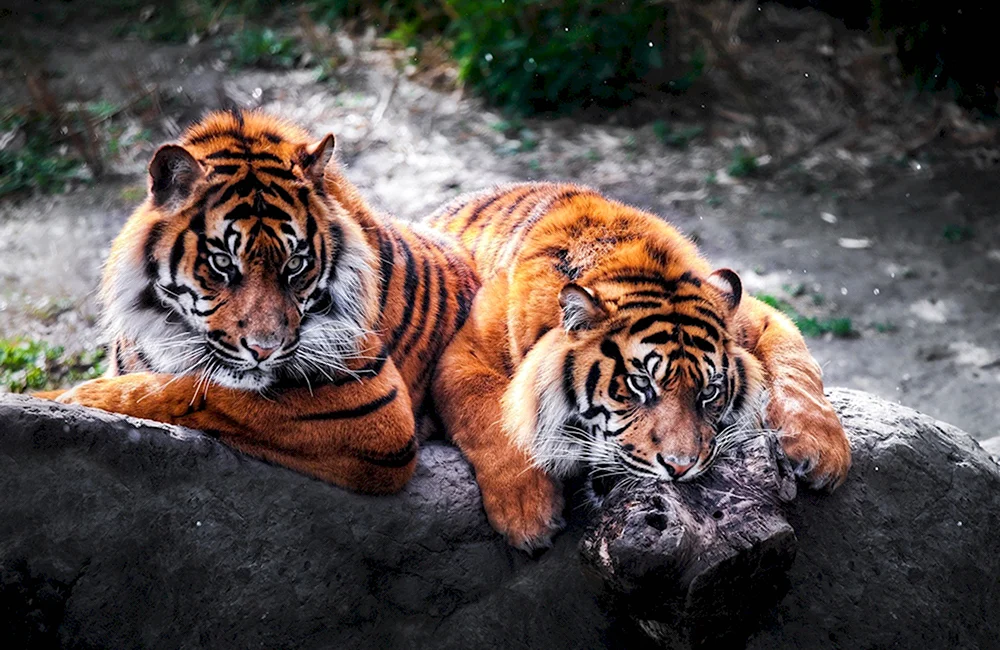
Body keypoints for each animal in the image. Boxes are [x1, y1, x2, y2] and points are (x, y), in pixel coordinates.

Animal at [43, 109, 479, 494]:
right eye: (222, 263)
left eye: (295, 264)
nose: (263, 350)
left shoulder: (372, 403)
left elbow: (196, 390)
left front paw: (80, 396)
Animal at [428, 183, 851, 550]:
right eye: (639, 385)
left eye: (709, 392)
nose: (680, 468)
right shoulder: (461, 354)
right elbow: (494, 418)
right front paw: (528, 514)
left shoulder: (757, 317)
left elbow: (796, 364)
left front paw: (822, 450)